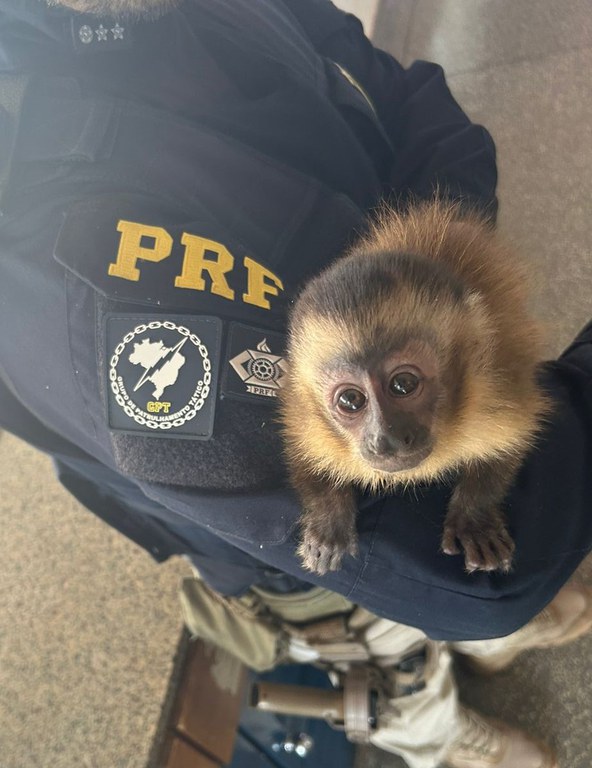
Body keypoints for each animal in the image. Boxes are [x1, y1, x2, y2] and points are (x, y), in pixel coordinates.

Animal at [282, 201, 552, 572]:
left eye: (404, 384)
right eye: (350, 400)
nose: (386, 440)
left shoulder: (494, 388)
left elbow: (511, 442)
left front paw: (475, 520)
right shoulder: (309, 418)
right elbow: (305, 453)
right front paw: (328, 524)